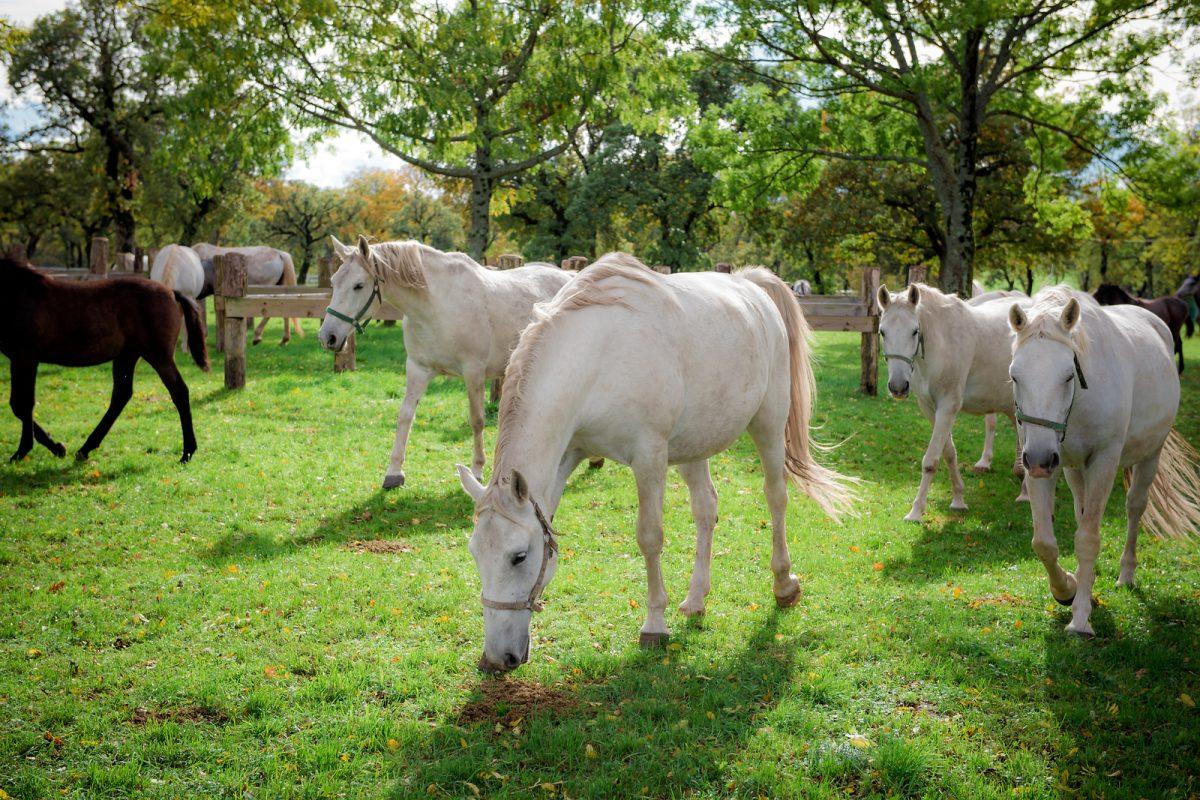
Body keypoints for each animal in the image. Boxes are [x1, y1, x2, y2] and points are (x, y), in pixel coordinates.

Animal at [1, 259, 208, 463]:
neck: (17, 293)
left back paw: (187, 452)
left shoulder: (25, 358)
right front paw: (55, 447)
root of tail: (172, 292)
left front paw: (26, 451)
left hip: (159, 357)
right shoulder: (20, 360)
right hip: (127, 356)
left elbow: (22, 404)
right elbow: (19, 405)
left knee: (179, 392)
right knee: (121, 395)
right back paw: (86, 448)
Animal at [319, 236, 572, 489]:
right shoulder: (418, 369)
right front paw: (394, 472)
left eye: (358, 285)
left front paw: (477, 470)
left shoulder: (473, 372)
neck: (437, 306)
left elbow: (477, 420)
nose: (327, 337)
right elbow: (405, 416)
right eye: (334, 282)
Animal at [455, 253, 855, 673]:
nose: (496, 660)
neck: (597, 358)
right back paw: (696, 600)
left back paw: (784, 584)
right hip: (695, 446)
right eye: (475, 553)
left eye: (518, 556)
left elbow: (649, 537)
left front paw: (654, 625)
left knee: (776, 497)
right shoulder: (569, 455)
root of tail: (751, 285)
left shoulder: (648, 458)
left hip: (769, 424)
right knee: (706, 509)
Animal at [877, 283, 1029, 522]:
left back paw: (1025, 494)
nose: (898, 387)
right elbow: (948, 453)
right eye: (882, 331)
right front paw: (958, 499)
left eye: (914, 331)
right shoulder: (930, 408)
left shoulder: (947, 408)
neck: (942, 345)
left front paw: (916, 511)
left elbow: (931, 460)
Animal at [1007, 288, 1200, 637]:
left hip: (1150, 455)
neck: (1079, 402)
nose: (1040, 459)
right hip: (1071, 469)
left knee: (1134, 508)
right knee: (1081, 510)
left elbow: (1087, 539)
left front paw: (1081, 618)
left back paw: (1126, 573)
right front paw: (1067, 590)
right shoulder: (1042, 462)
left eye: (1068, 375)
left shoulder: (1103, 462)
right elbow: (1044, 543)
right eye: (1015, 376)